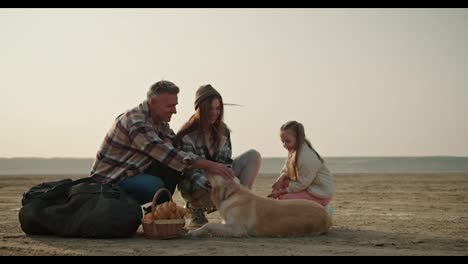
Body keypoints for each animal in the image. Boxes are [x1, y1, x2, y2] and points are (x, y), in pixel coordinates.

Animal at [186, 172, 332, 238]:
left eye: (218, 169)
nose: (206, 166)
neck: (233, 194)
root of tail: (327, 216)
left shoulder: (238, 229)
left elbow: (209, 225)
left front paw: (194, 232)